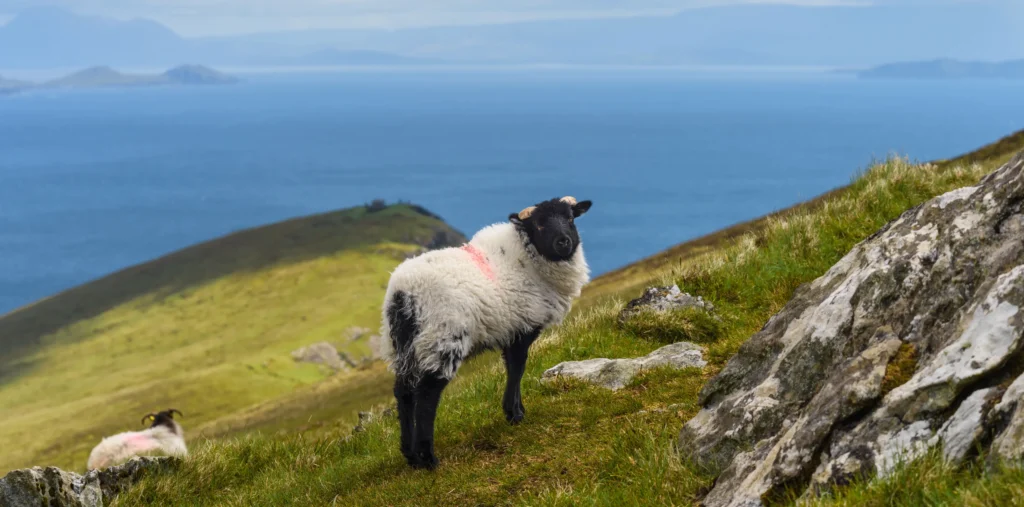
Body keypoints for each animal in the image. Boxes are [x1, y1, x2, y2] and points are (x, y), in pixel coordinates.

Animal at [380, 196, 593, 469]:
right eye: (540, 224)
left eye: (570, 218)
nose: (564, 242)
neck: (528, 258)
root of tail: (403, 294)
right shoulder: (522, 328)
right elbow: (517, 369)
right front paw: (514, 414)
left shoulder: (511, 330)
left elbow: (513, 369)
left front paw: (517, 411)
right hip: (442, 339)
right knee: (427, 395)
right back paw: (428, 458)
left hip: (403, 346)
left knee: (404, 392)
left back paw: (410, 455)